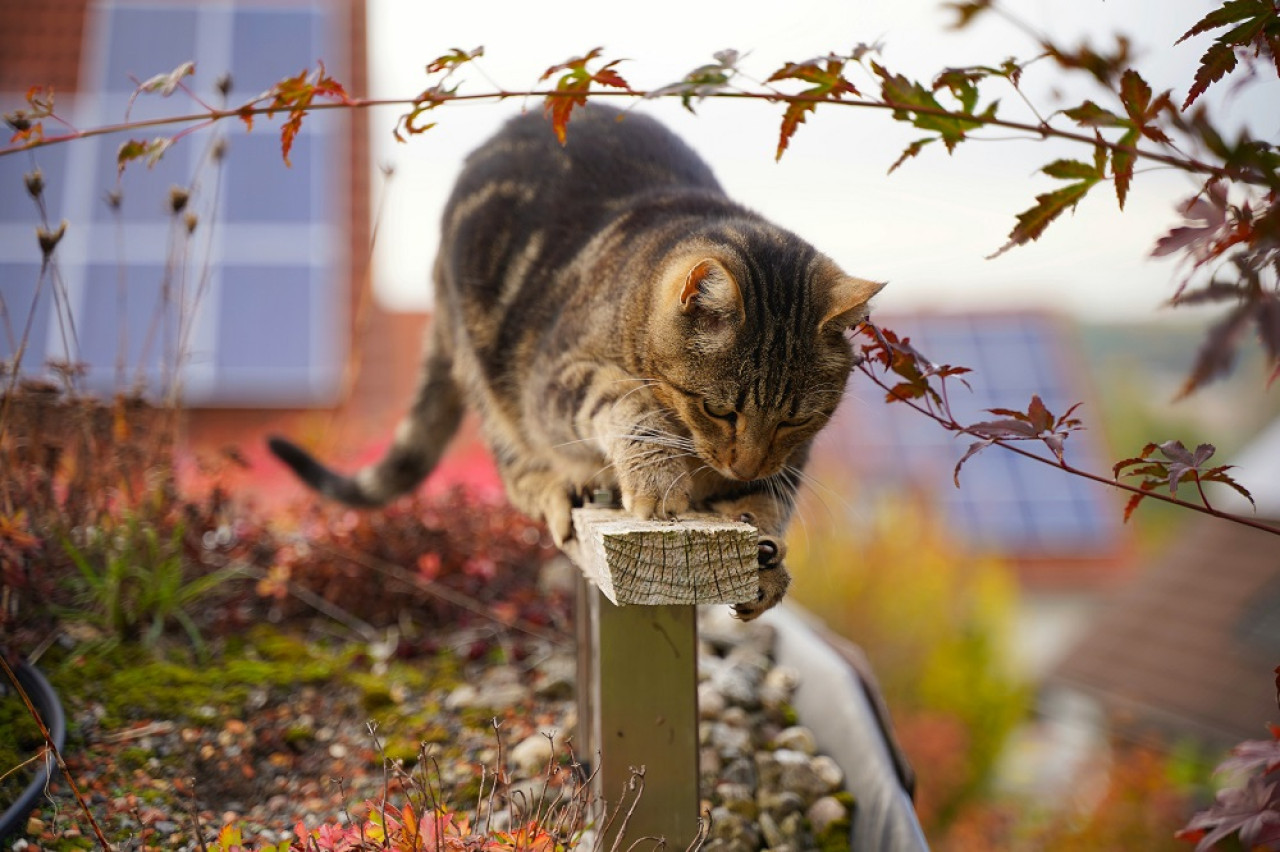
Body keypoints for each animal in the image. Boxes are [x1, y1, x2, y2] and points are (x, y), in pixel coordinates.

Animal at [270, 104, 885, 616]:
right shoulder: (559, 381)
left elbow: (773, 495)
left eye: (796, 419)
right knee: (512, 458)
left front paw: (763, 539)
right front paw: (660, 481)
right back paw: (553, 487)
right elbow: (630, 408)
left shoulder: (788, 456)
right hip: (490, 374)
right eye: (718, 410)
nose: (746, 466)